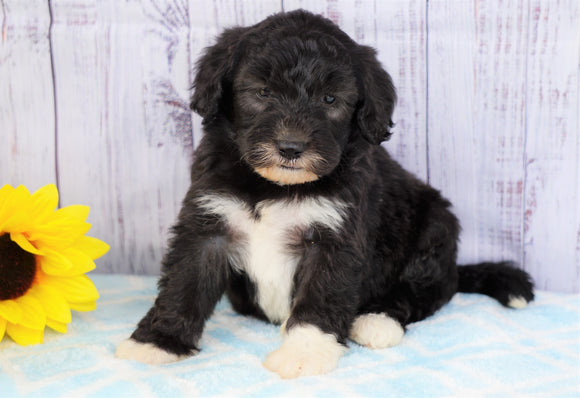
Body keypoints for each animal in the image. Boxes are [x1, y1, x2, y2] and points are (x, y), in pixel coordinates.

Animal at [116, 8, 536, 376]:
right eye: (262, 92)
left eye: (330, 100)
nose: (290, 147)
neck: (275, 187)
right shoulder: (208, 222)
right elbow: (184, 283)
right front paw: (156, 342)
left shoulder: (335, 236)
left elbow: (320, 297)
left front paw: (304, 353)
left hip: (435, 225)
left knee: (425, 291)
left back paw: (377, 319)